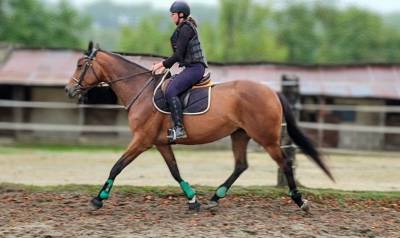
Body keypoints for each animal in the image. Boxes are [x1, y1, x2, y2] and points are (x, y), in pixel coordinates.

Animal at [66, 42, 334, 212]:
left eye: (80, 65)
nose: (69, 90)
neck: (141, 90)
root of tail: (271, 91)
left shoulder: (142, 140)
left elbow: (117, 166)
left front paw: (98, 199)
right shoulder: (160, 143)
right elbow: (175, 171)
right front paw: (192, 199)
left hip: (266, 138)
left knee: (285, 163)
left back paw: (300, 202)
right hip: (240, 135)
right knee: (241, 165)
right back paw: (215, 198)